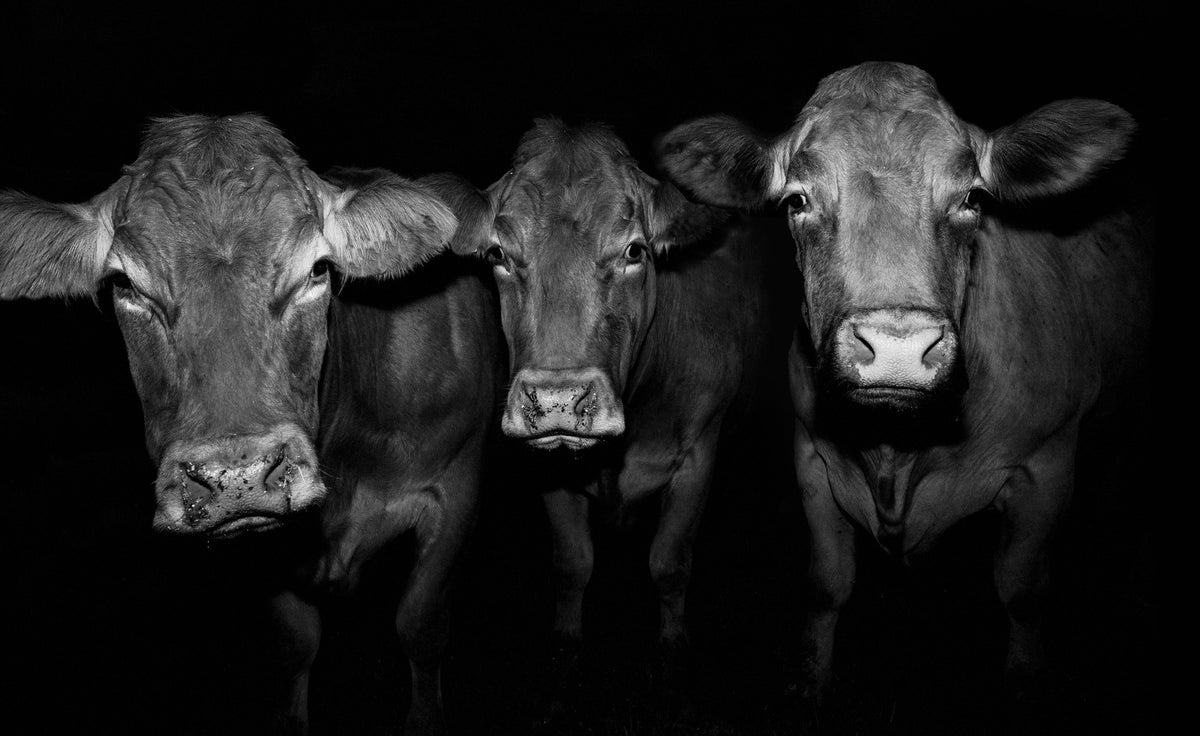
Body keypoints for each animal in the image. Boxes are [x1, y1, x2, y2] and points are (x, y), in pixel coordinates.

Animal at [0, 114, 503, 735]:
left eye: (318, 269)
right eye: (126, 286)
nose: (235, 478)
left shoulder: (457, 486)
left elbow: (420, 625)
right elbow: (295, 646)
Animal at [433, 118, 791, 729]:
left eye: (634, 250)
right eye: (499, 253)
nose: (557, 398)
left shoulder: (698, 453)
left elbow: (670, 565)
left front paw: (674, 679)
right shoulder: (549, 469)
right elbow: (572, 566)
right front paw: (560, 679)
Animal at [657, 61, 1153, 729]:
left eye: (972, 199)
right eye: (797, 200)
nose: (897, 347)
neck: (898, 449)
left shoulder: (1047, 463)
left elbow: (1022, 590)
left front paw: (1026, 686)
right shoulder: (812, 458)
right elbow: (826, 584)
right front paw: (809, 686)